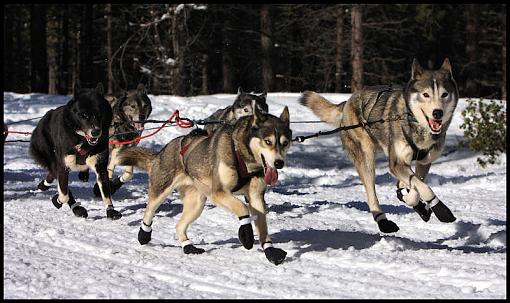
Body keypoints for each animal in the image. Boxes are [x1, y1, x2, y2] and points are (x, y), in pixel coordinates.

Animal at [29, 83, 122, 221]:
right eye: (84, 115)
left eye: (99, 114)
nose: (95, 132)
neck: (82, 140)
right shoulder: (63, 165)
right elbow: (64, 194)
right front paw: (58, 200)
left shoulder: (100, 165)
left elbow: (106, 192)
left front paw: (110, 210)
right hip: (51, 157)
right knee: (58, 178)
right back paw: (75, 207)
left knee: (53, 174)